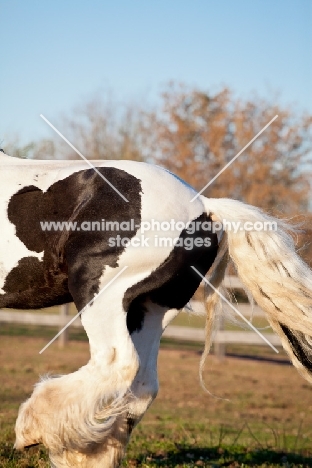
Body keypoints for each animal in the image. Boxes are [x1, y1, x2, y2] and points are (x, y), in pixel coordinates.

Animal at [2, 152, 312, 466]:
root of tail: (204, 207)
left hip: (100, 291)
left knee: (118, 362)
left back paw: (35, 428)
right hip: (152, 307)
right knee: (143, 383)